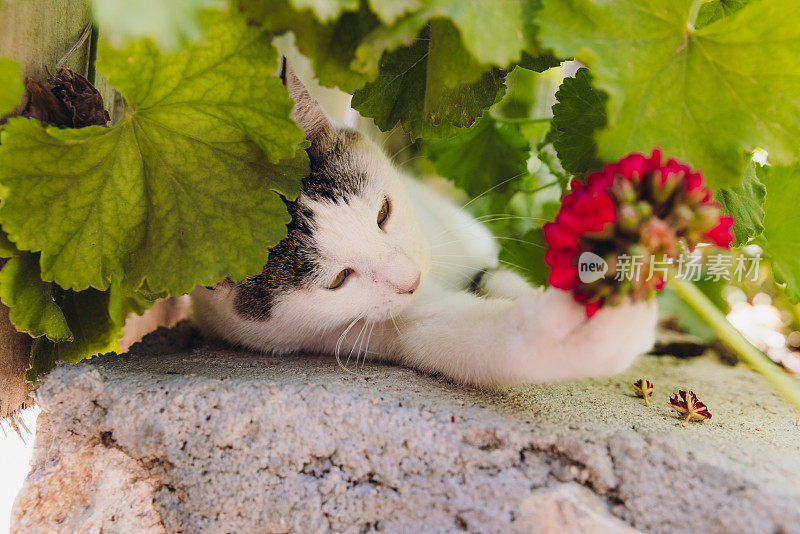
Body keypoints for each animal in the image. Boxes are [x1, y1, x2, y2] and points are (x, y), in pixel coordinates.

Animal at [191, 70, 660, 390]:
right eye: (338, 279)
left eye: (383, 212)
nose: (412, 278)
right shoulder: (393, 327)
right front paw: (593, 323)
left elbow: (496, 275)